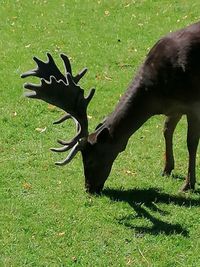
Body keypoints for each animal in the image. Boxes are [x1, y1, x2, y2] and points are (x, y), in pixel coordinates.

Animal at [21, 21, 200, 193]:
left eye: (90, 159)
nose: (89, 188)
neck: (157, 93)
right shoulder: (174, 107)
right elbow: (167, 131)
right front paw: (167, 169)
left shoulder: (193, 105)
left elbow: (191, 143)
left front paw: (188, 184)